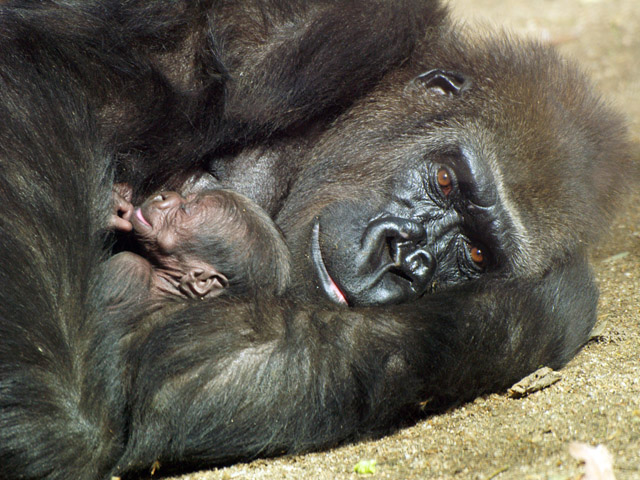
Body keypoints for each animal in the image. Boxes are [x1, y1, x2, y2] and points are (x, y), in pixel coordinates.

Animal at [0, 1, 637, 479]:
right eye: (444, 180)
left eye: (478, 253)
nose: (405, 259)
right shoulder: (294, 33)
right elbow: (34, 81)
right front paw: (58, 430)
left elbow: (190, 378)